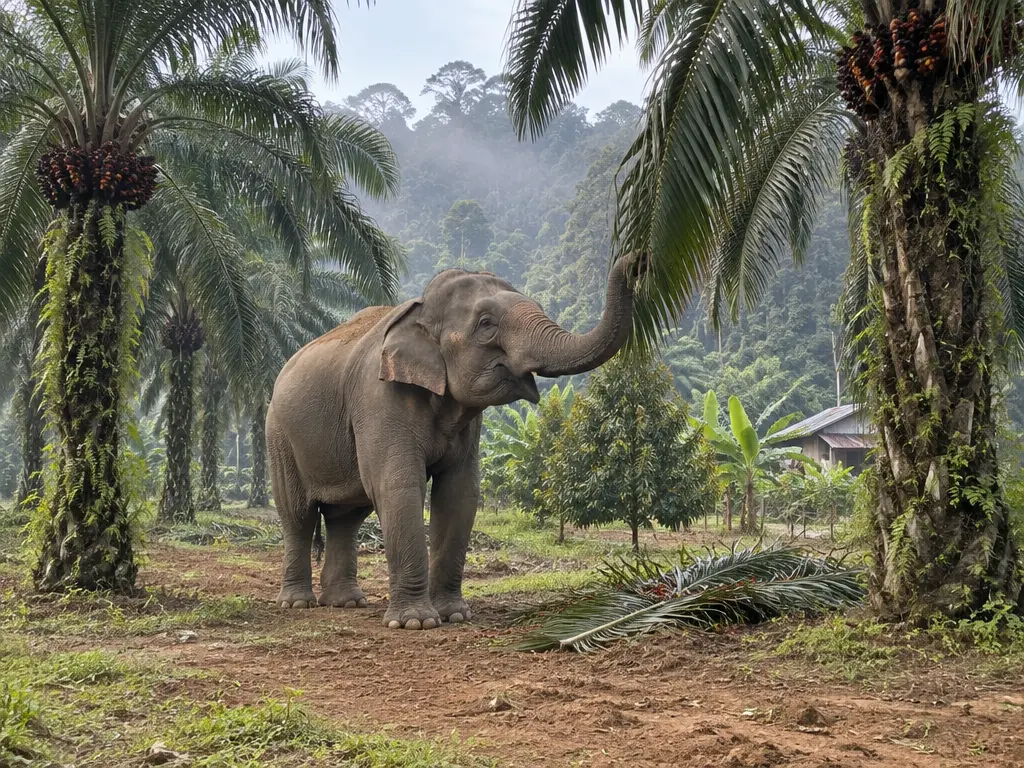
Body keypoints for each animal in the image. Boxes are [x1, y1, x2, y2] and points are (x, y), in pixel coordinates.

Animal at [265, 254, 637, 629]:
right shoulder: (378, 399)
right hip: (278, 436)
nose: (636, 260)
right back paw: (298, 603)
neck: (419, 311)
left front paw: (454, 615)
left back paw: (347, 602)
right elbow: (398, 485)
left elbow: (459, 492)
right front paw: (415, 623)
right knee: (298, 514)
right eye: (486, 324)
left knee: (346, 516)